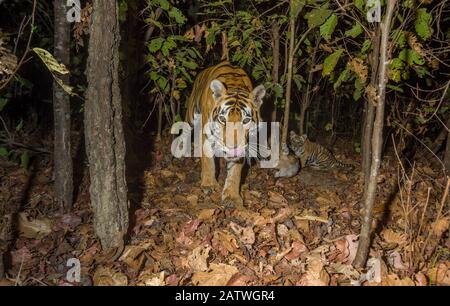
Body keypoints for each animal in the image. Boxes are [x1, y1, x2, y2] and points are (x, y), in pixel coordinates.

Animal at [185, 61, 266, 208]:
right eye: (223, 119)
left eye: (245, 120)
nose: (231, 147)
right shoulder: (207, 135)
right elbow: (208, 161)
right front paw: (209, 185)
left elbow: (234, 172)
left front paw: (231, 196)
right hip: (191, 116)